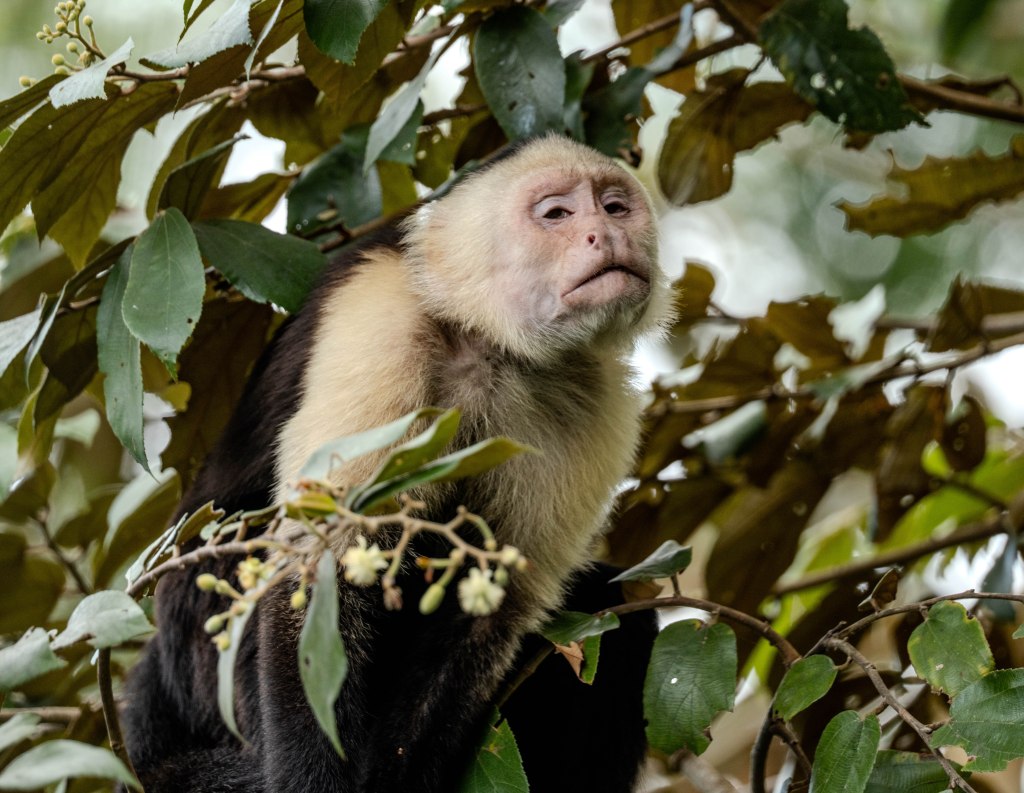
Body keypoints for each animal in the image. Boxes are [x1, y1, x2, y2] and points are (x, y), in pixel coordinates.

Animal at [122, 135, 671, 793]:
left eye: (615, 207)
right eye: (557, 215)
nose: (605, 234)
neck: (492, 344)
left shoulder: (595, 405)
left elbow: (484, 614)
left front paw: (398, 776)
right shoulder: (381, 318)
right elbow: (322, 566)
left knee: (616, 618)